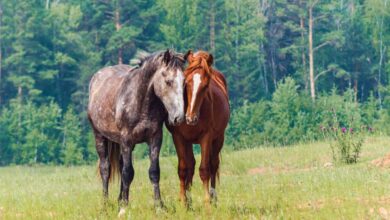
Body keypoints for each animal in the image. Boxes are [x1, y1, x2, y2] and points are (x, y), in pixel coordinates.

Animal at [88, 49, 186, 215]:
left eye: (184, 82)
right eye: (168, 81)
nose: (178, 117)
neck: (141, 102)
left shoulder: (155, 138)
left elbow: (154, 172)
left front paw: (159, 206)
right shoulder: (127, 139)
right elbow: (128, 173)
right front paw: (124, 208)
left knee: (121, 165)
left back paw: (119, 199)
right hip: (100, 136)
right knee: (105, 168)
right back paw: (105, 205)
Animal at [167, 49, 229, 206]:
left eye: (205, 86)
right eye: (186, 82)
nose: (190, 118)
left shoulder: (206, 137)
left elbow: (205, 169)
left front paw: (207, 201)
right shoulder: (178, 138)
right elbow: (183, 169)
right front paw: (183, 202)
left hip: (218, 139)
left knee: (213, 165)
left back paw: (213, 198)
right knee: (191, 165)